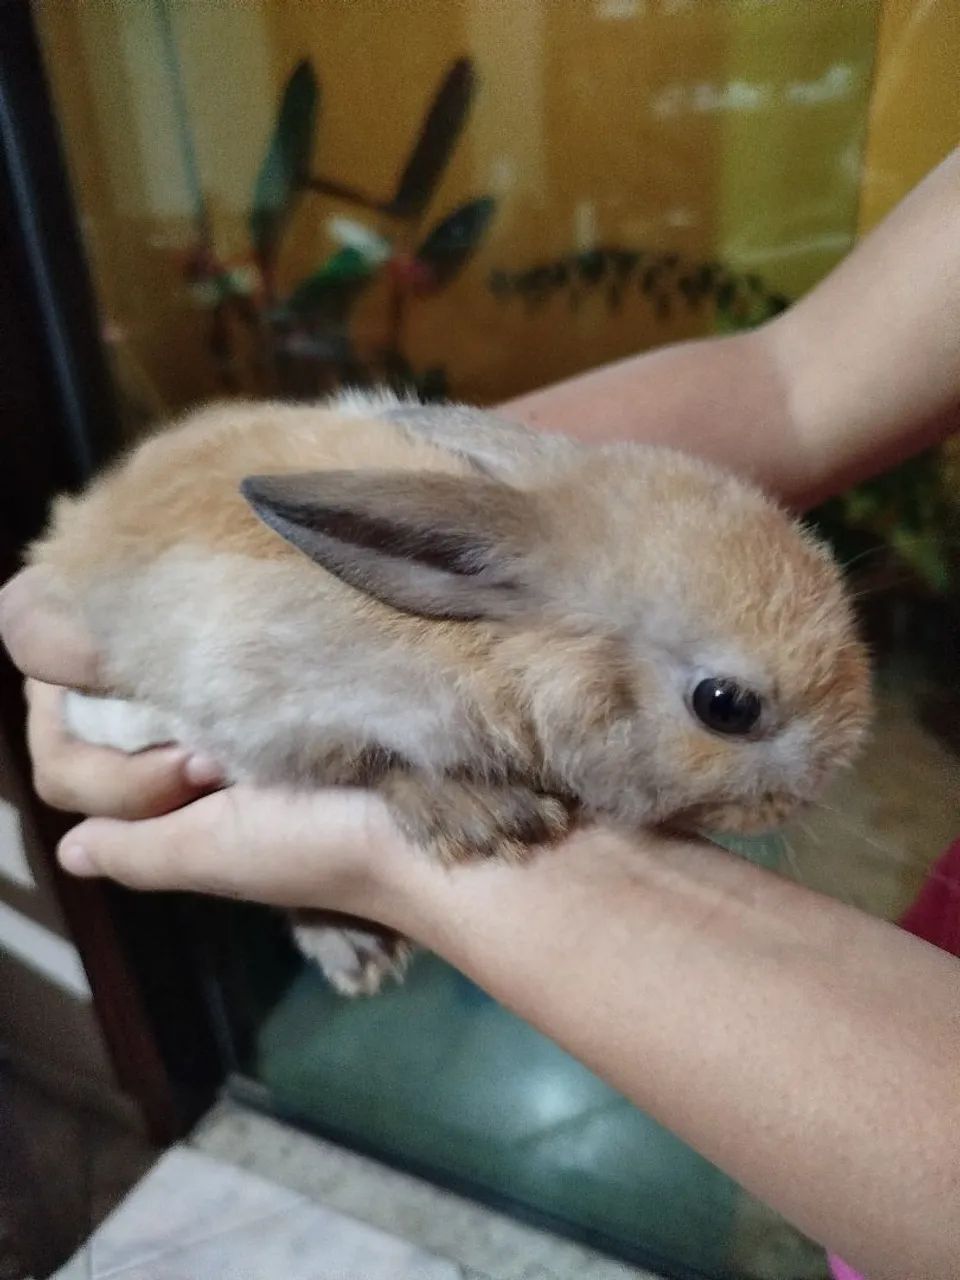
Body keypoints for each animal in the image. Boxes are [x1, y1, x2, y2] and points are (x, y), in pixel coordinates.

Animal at [28, 389, 871, 995]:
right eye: (726, 705)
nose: (816, 785)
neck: (499, 652)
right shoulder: (272, 714)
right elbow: (373, 765)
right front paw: (487, 819)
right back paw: (355, 949)